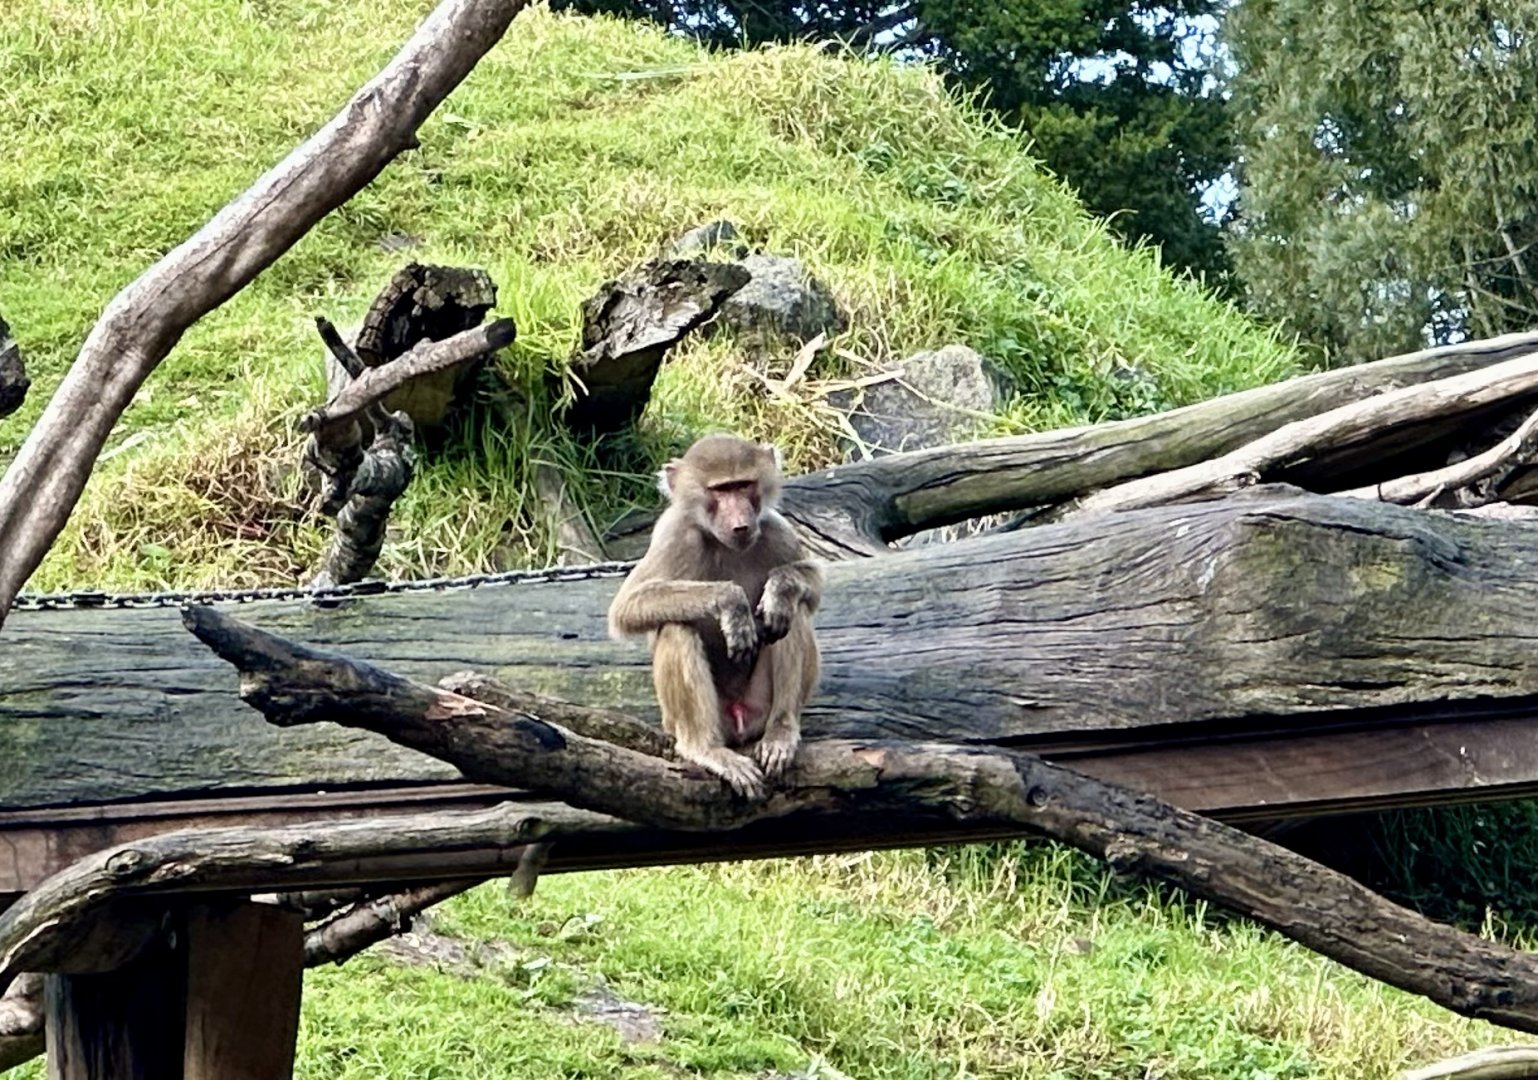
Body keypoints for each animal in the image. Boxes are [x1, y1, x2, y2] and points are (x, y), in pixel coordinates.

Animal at [608, 434, 822, 799]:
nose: (741, 525)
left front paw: (779, 590)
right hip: (690, 720)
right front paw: (731, 604)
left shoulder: (776, 530)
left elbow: (813, 587)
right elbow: (626, 609)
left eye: (743, 485)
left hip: (757, 710)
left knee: (793, 615)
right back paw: (705, 749)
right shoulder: (673, 534)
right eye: (720, 490)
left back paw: (781, 732)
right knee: (676, 627)